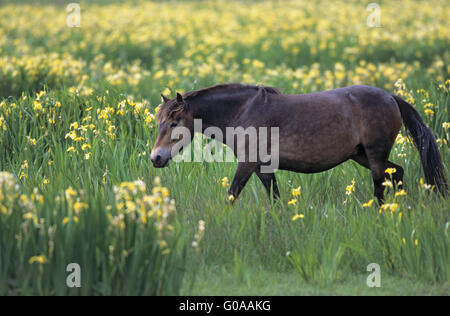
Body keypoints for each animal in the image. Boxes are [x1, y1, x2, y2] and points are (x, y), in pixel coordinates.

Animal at [151, 84, 446, 202]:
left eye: (174, 123)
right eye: (159, 122)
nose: (156, 158)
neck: (244, 110)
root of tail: (390, 96)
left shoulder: (247, 165)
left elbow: (232, 195)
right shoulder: (263, 168)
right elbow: (276, 200)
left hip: (374, 156)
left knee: (381, 187)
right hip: (361, 155)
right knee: (397, 173)